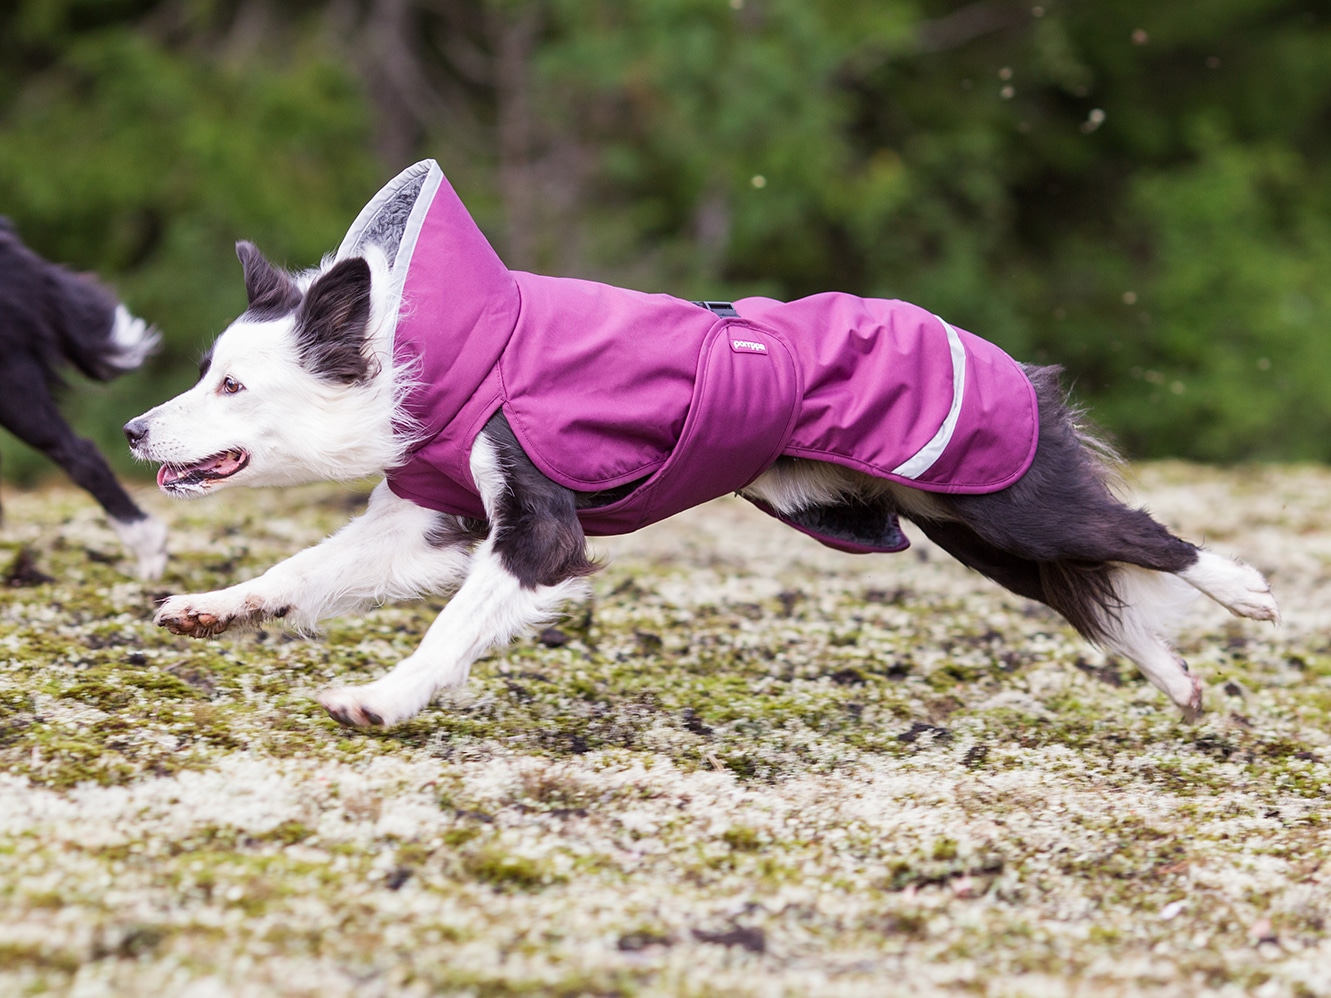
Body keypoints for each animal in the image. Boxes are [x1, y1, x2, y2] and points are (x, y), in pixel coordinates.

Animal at [125, 162, 1277, 729]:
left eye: (230, 385)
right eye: (206, 368)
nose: (136, 428)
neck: (439, 354)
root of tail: (1003, 358)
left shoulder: (537, 529)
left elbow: (454, 626)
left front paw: (381, 699)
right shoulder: (435, 517)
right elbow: (305, 567)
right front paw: (210, 605)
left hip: (1008, 499)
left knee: (1139, 534)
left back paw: (1248, 591)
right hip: (962, 525)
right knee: (1091, 591)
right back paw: (1178, 682)